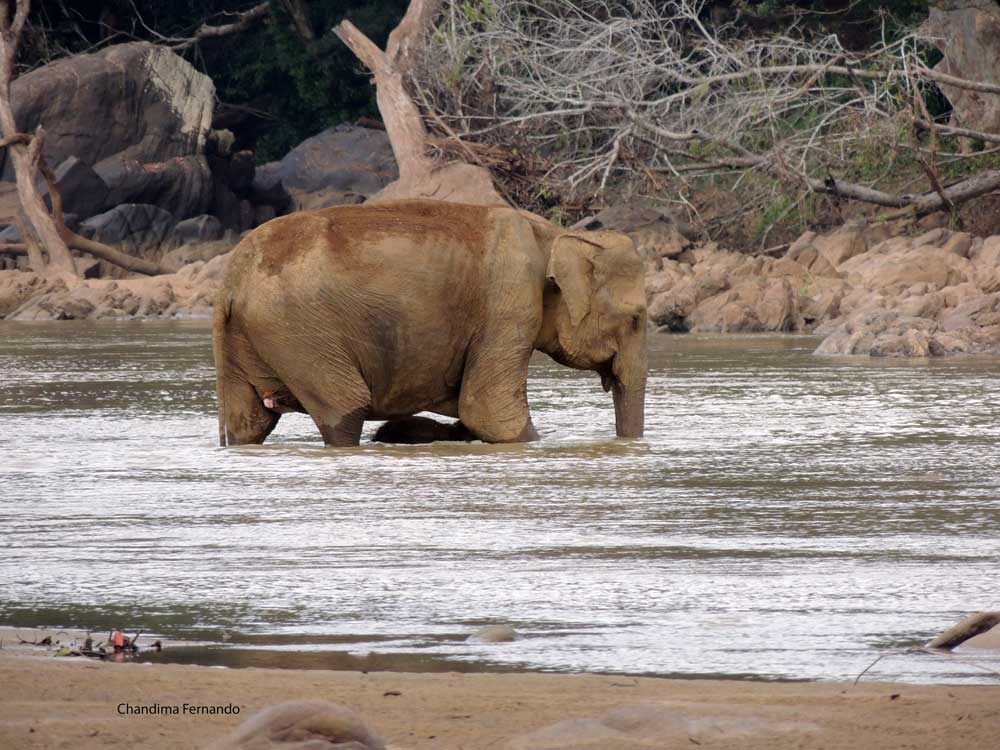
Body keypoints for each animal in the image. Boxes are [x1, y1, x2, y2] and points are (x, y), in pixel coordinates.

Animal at [212, 198, 648, 446]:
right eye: (637, 319)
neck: (557, 234)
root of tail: (230, 280)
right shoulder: (510, 301)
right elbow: (488, 410)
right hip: (302, 334)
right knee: (346, 410)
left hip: (252, 338)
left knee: (250, 421)